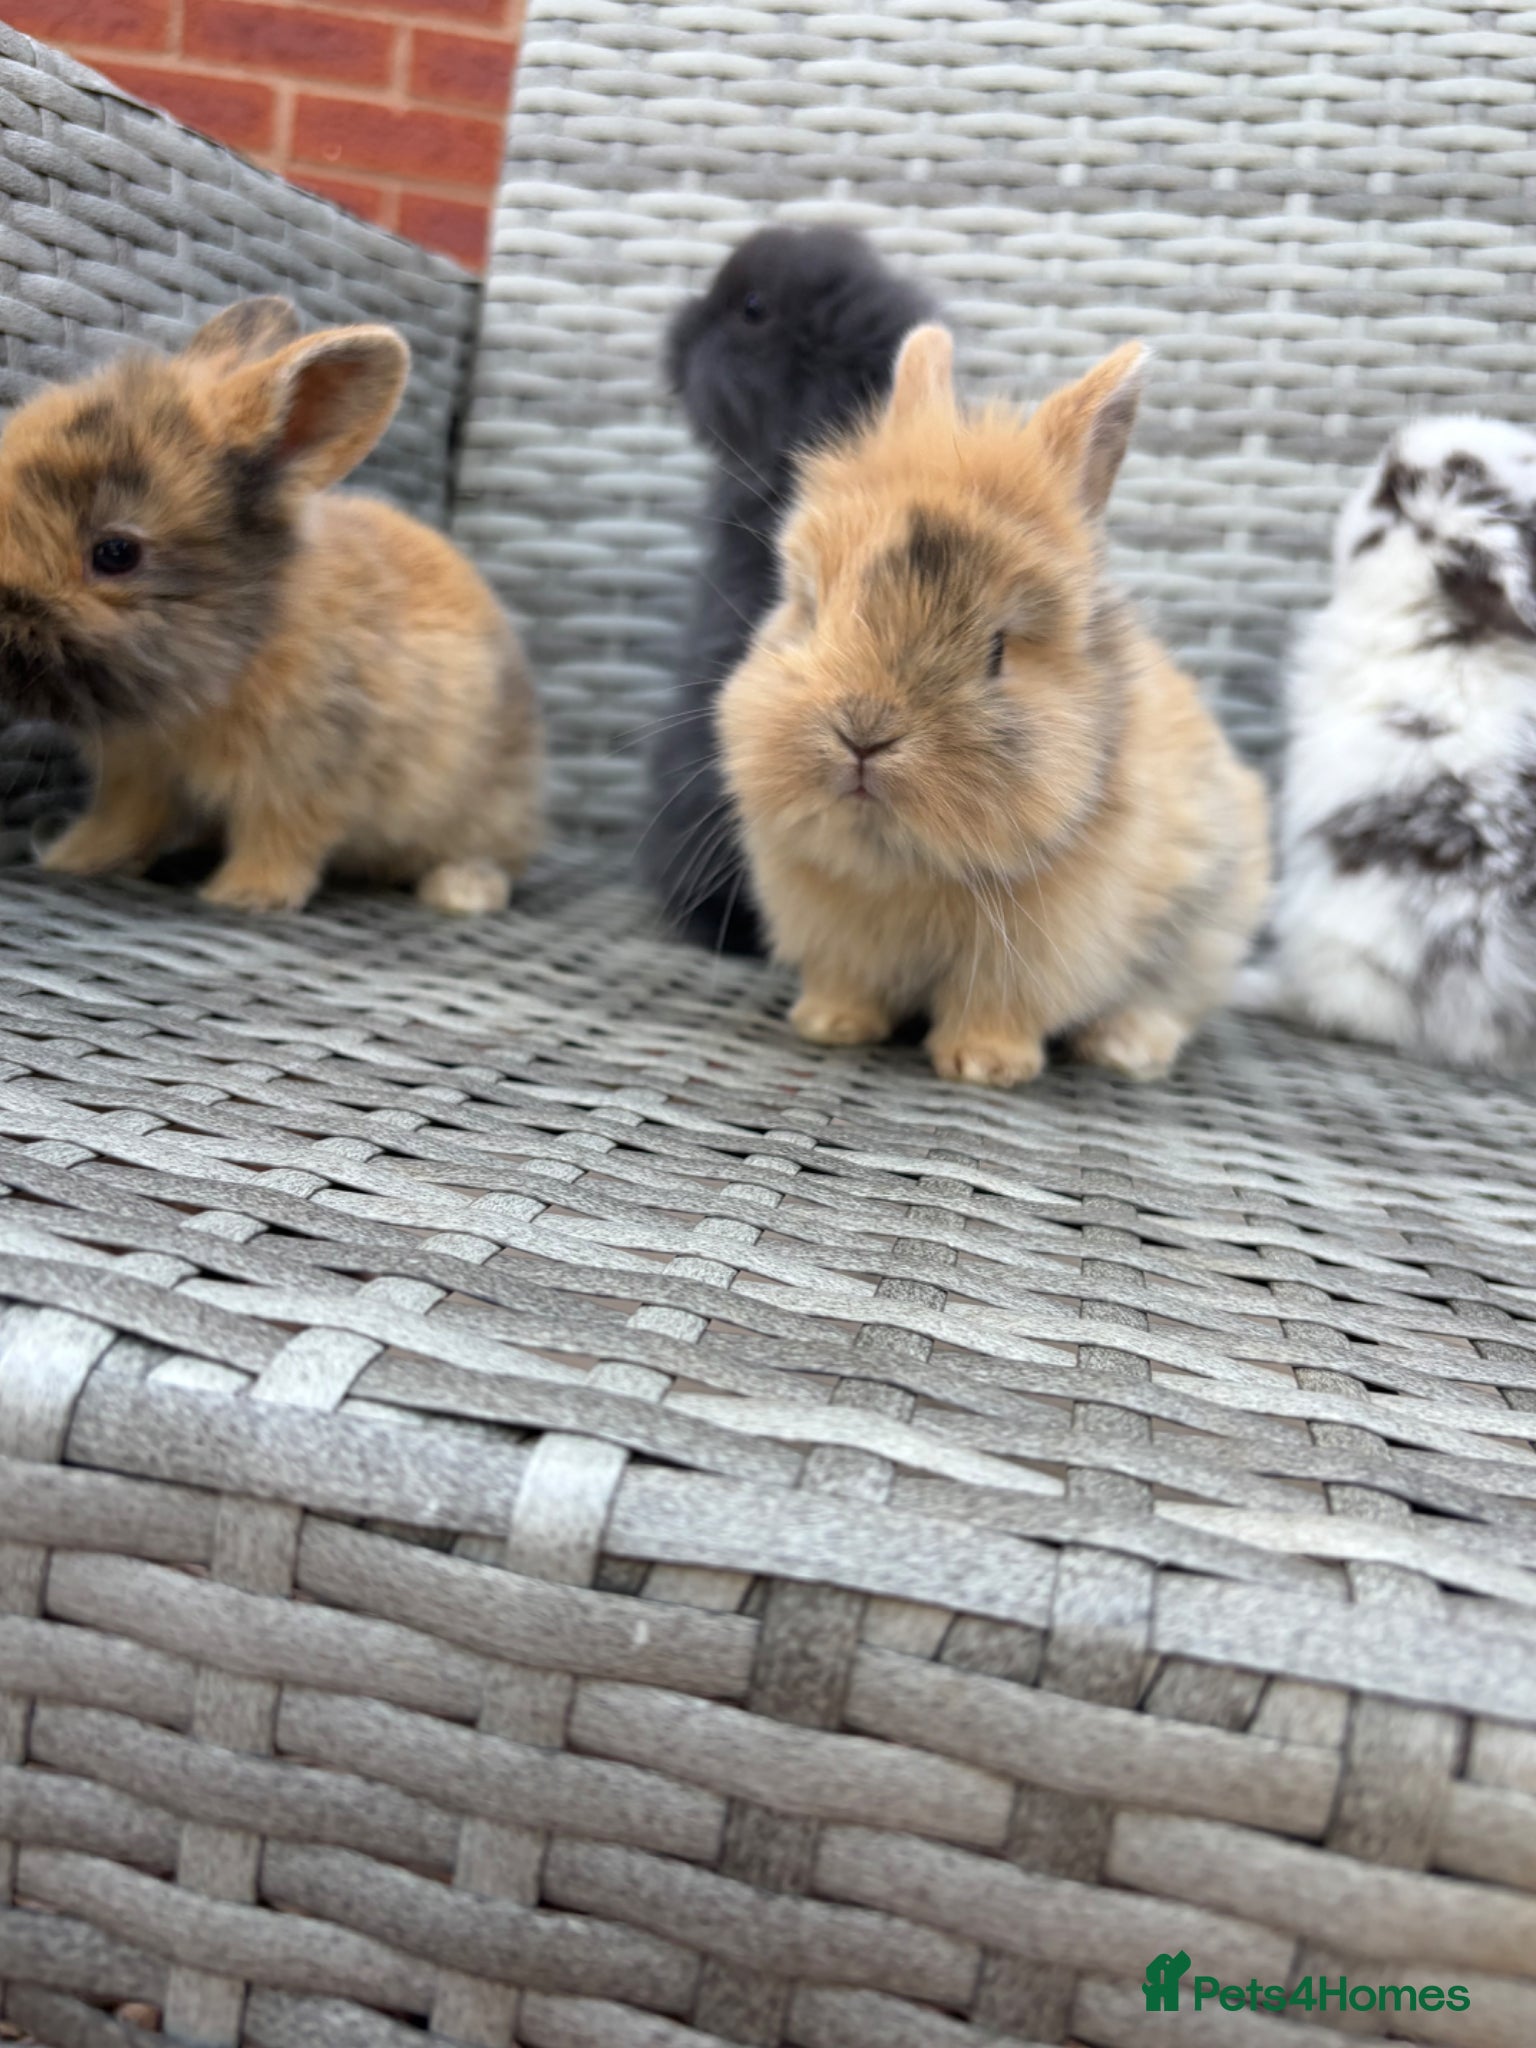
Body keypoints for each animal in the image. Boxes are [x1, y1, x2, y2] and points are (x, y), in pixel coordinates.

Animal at [0, 296, 541, 915]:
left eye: (116, 553)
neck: (237, 653)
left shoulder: (305, 773)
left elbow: (282, 837)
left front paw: (244, 895)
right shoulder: (137, 774)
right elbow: (124, 823)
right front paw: (74, 858)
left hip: (486, 808)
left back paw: (461, 892)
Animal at [715, 326, 1271, 1087]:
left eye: (999, 651)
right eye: (811, 609)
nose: (863, 733)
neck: (908, 865)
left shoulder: (1035, 957)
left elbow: (1000, 1007)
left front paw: (983, 1064)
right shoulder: (837, 938)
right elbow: (849, 983)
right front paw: (831, 1025)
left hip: (1208, 928)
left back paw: (1124, 1049)